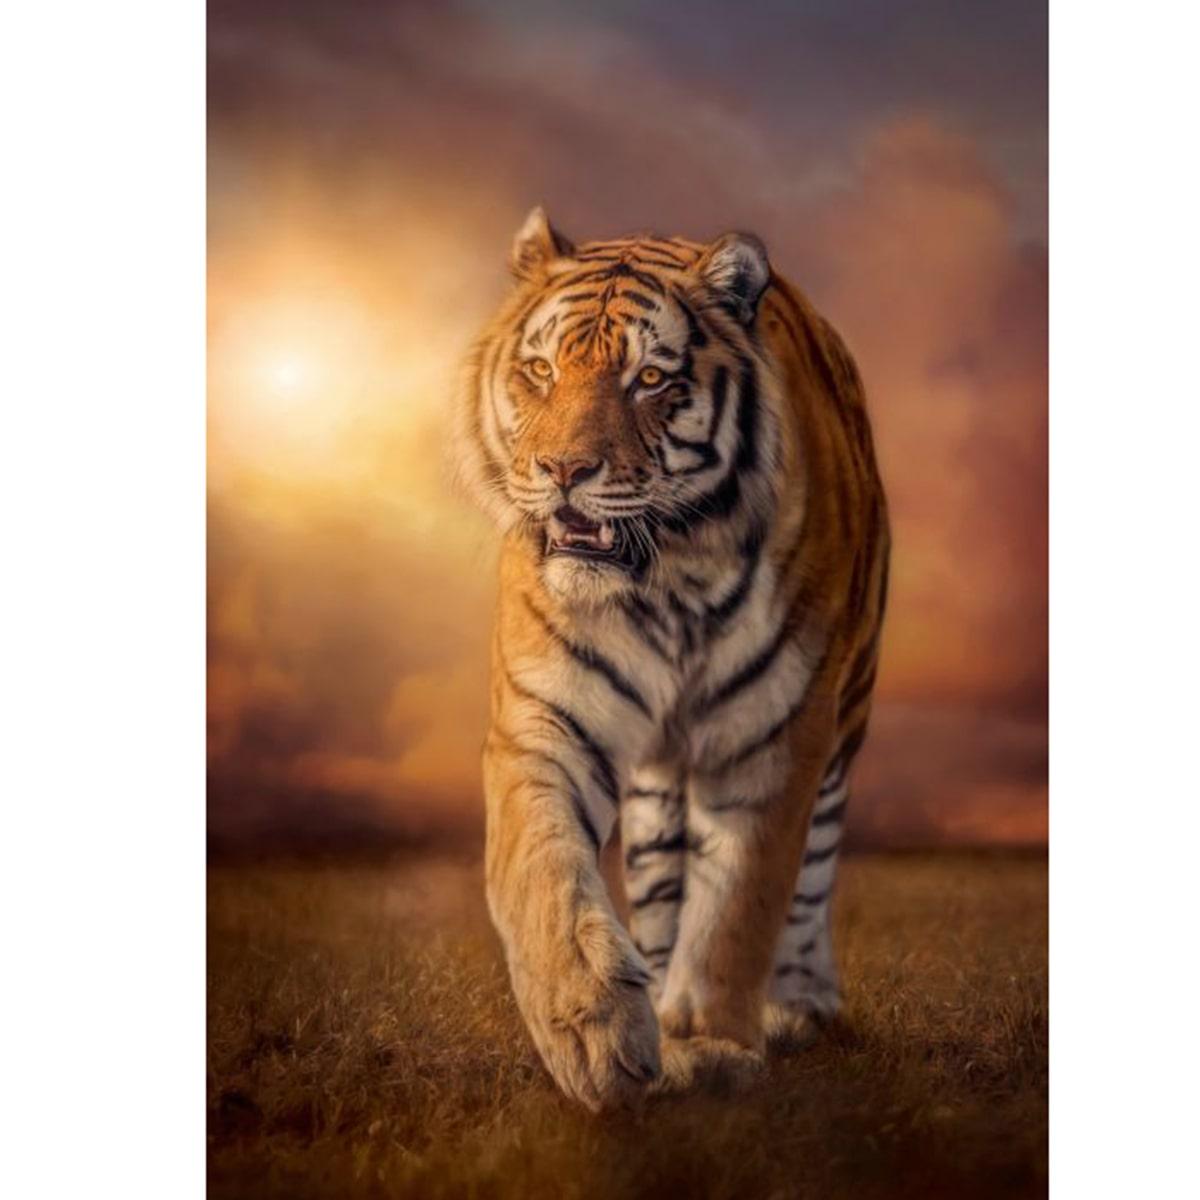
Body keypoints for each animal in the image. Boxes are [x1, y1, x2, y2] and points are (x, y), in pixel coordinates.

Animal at [451, 206, 890, 1112]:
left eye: (650, 379)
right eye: (541, 370)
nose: (564, 471)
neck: (667, 582)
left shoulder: (774, 738)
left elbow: (740, 906)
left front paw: (711, 1043)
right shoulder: (543, 721)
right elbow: (543, 870)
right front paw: (593, 1031)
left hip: (847, 716)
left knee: (813, 872)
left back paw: (798, 1004)